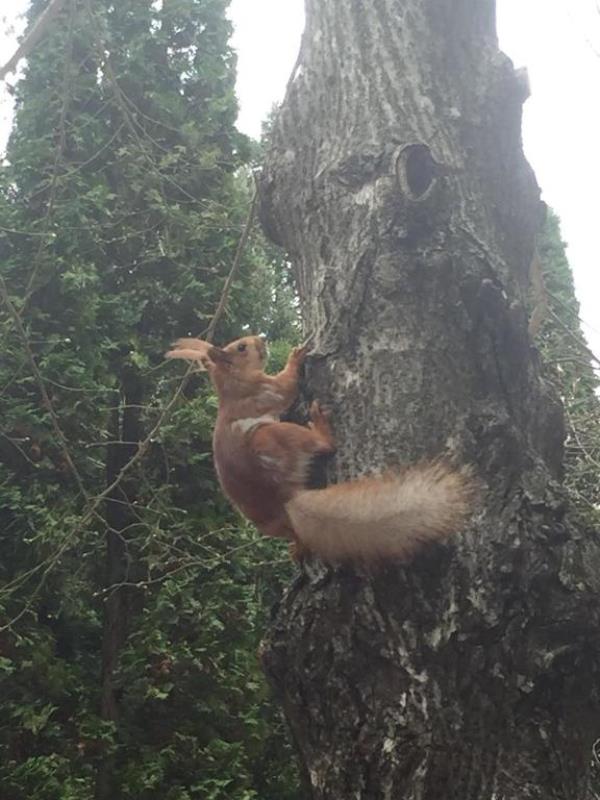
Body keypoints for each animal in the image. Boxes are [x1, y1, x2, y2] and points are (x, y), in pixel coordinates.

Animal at [166, 334, 476, 560]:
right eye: (242, 347)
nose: (261, 338)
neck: (232, 383)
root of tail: (286, 500)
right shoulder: (265, 391)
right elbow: (287, 386)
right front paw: (295, 356)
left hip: (267, 523)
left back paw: (296, 549)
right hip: (275, 437)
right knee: (324, 445)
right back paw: (320, 425)